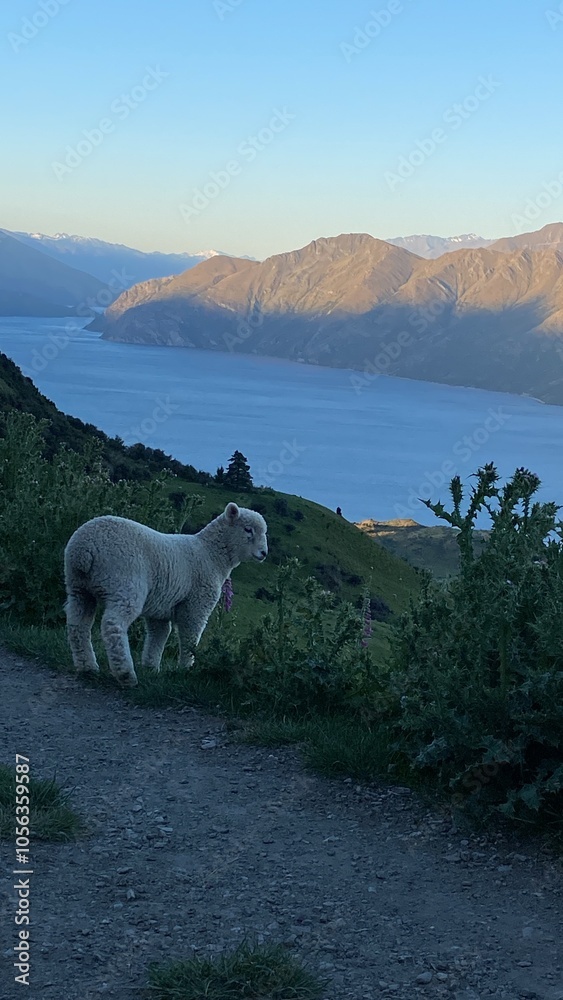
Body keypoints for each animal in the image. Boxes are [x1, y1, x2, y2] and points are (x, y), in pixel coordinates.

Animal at [64, 502, 268, 688]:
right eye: (248, 529)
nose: (264, 553)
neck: (211, 554)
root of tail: (84, 548)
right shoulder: (196, 603)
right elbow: (190, 636)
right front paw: (186, 669)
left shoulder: (161, 607)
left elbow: (158, 635)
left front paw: (151, 667)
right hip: (124, 582)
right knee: (112, 625)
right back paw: (126, 674)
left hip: (78, 588)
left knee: (77, 625)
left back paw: (87, 667)